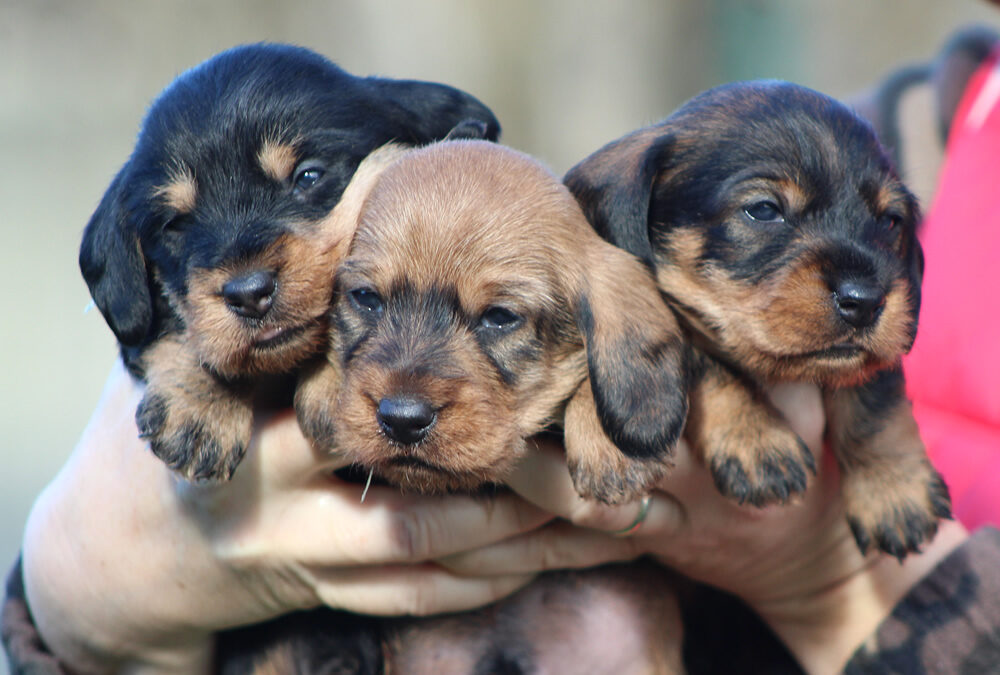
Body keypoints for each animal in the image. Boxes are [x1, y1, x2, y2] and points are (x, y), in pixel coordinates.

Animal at [568, 82, 948, 560]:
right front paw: (757, 440)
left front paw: (894, 490)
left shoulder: (866, 359)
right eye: (764, 210)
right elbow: (707, 365)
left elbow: (873, 403)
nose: (865, 302)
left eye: (891, 220)